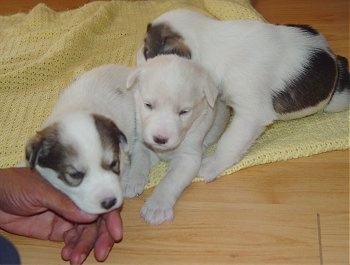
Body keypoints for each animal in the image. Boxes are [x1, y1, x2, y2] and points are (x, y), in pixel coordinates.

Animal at [26, 54, 228, 223]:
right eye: (148, 105)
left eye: (184, 112)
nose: (160, 139)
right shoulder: (141, 140)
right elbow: (140, 160)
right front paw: (133, 180)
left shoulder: (188, 156)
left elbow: (170, 180)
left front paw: (156, 205)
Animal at [139, 8, 350, 182]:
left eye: (147, 50)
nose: (138, 58)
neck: (214, 43)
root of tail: (334, 59)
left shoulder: (251, 115)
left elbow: (229, 142)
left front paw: (211, 165)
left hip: (336, 101)